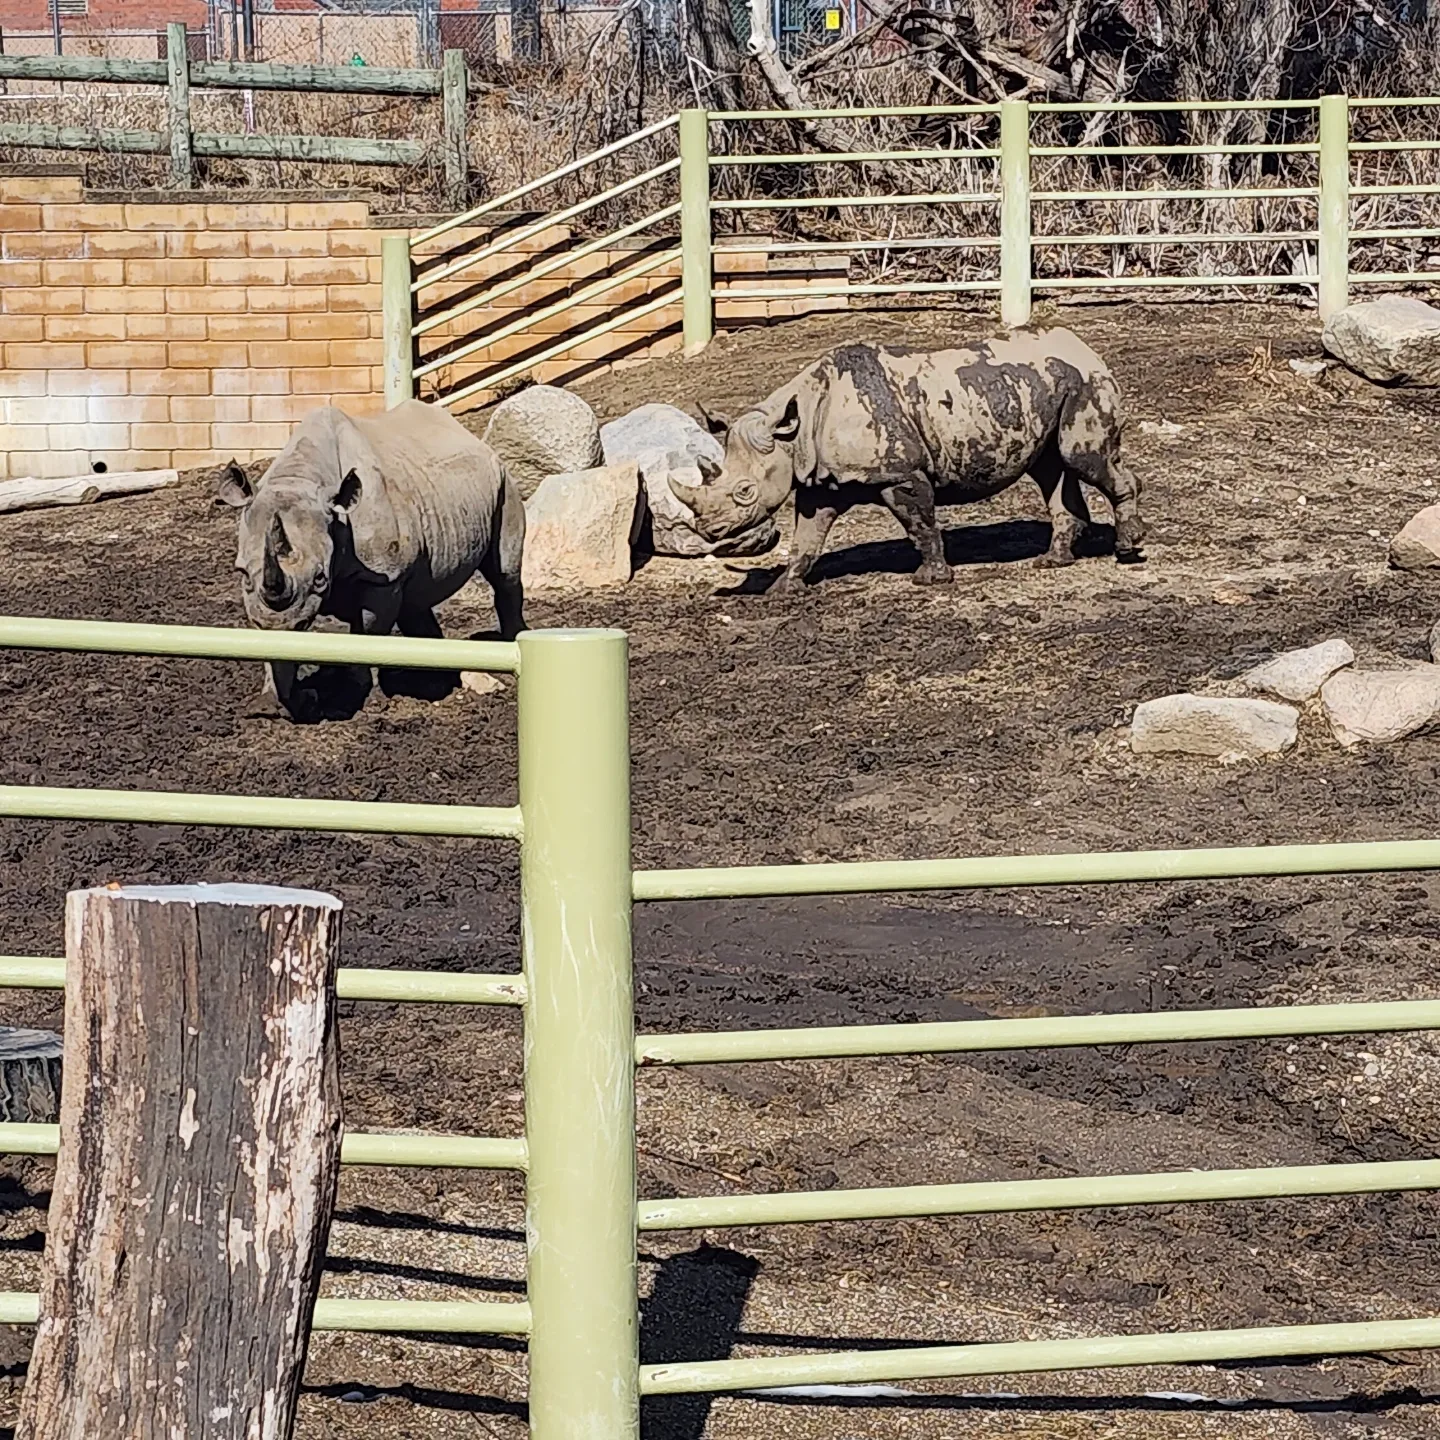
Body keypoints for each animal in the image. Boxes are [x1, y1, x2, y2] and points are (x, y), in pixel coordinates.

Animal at [216, 400, 524, 718]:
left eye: (320, 579)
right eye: (243, 576)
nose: (277, 622)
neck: (300, 478)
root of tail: (468, 433)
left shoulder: (383, 577)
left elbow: (369, 632)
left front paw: (365, 698)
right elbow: (267, 643)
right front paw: (268, 706)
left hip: (504, 482)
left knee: (504, 574)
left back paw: (510, 641)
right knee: (416, 596)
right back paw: (435, 672)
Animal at [670, 330, 1144, 592]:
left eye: (744, 491)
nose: (709, 531)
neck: (794, 429)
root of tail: (1087, 348)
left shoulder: (898, 473)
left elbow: (920, 524)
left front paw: (930, 580)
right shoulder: (819, 483)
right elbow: (807, 537)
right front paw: (784, 588)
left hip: (1087, 383)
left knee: (1082, 459)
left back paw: (1127, 549)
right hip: (1048, 385)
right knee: (1051, 468)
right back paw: (1053, 560)